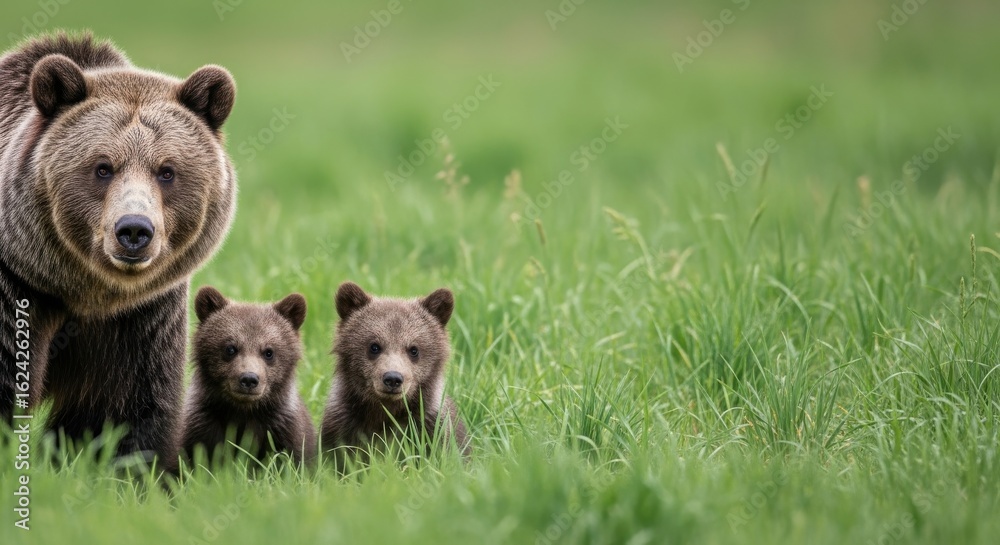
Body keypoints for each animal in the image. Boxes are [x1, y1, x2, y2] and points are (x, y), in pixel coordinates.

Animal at [0, 32, 237, 469]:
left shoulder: (139, 318)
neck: (82, 292)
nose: (134, 230)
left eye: (167, 171)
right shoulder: (17, 288)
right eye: (102, 167)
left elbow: (120, 408)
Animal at [180, 287, 316, 465]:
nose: (249, 379)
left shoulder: (284, 429)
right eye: (230, 348)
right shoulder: (201, 426)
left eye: (269, 352)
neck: (243, 412)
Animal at [321, 281, 470, 466]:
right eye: (374, 346)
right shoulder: (342, 426)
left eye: (414, 349)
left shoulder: (431, 428)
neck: (385, 412)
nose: (393, 378)